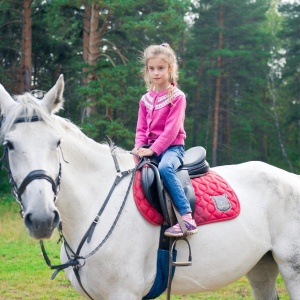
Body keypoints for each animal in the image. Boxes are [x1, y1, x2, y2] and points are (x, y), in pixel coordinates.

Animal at [0, 75, 300, 300]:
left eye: (57, 142)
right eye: (9, 144)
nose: (42, 218)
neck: (95, 204)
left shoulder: (124, 294)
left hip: (292, 269)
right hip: (261, 267)